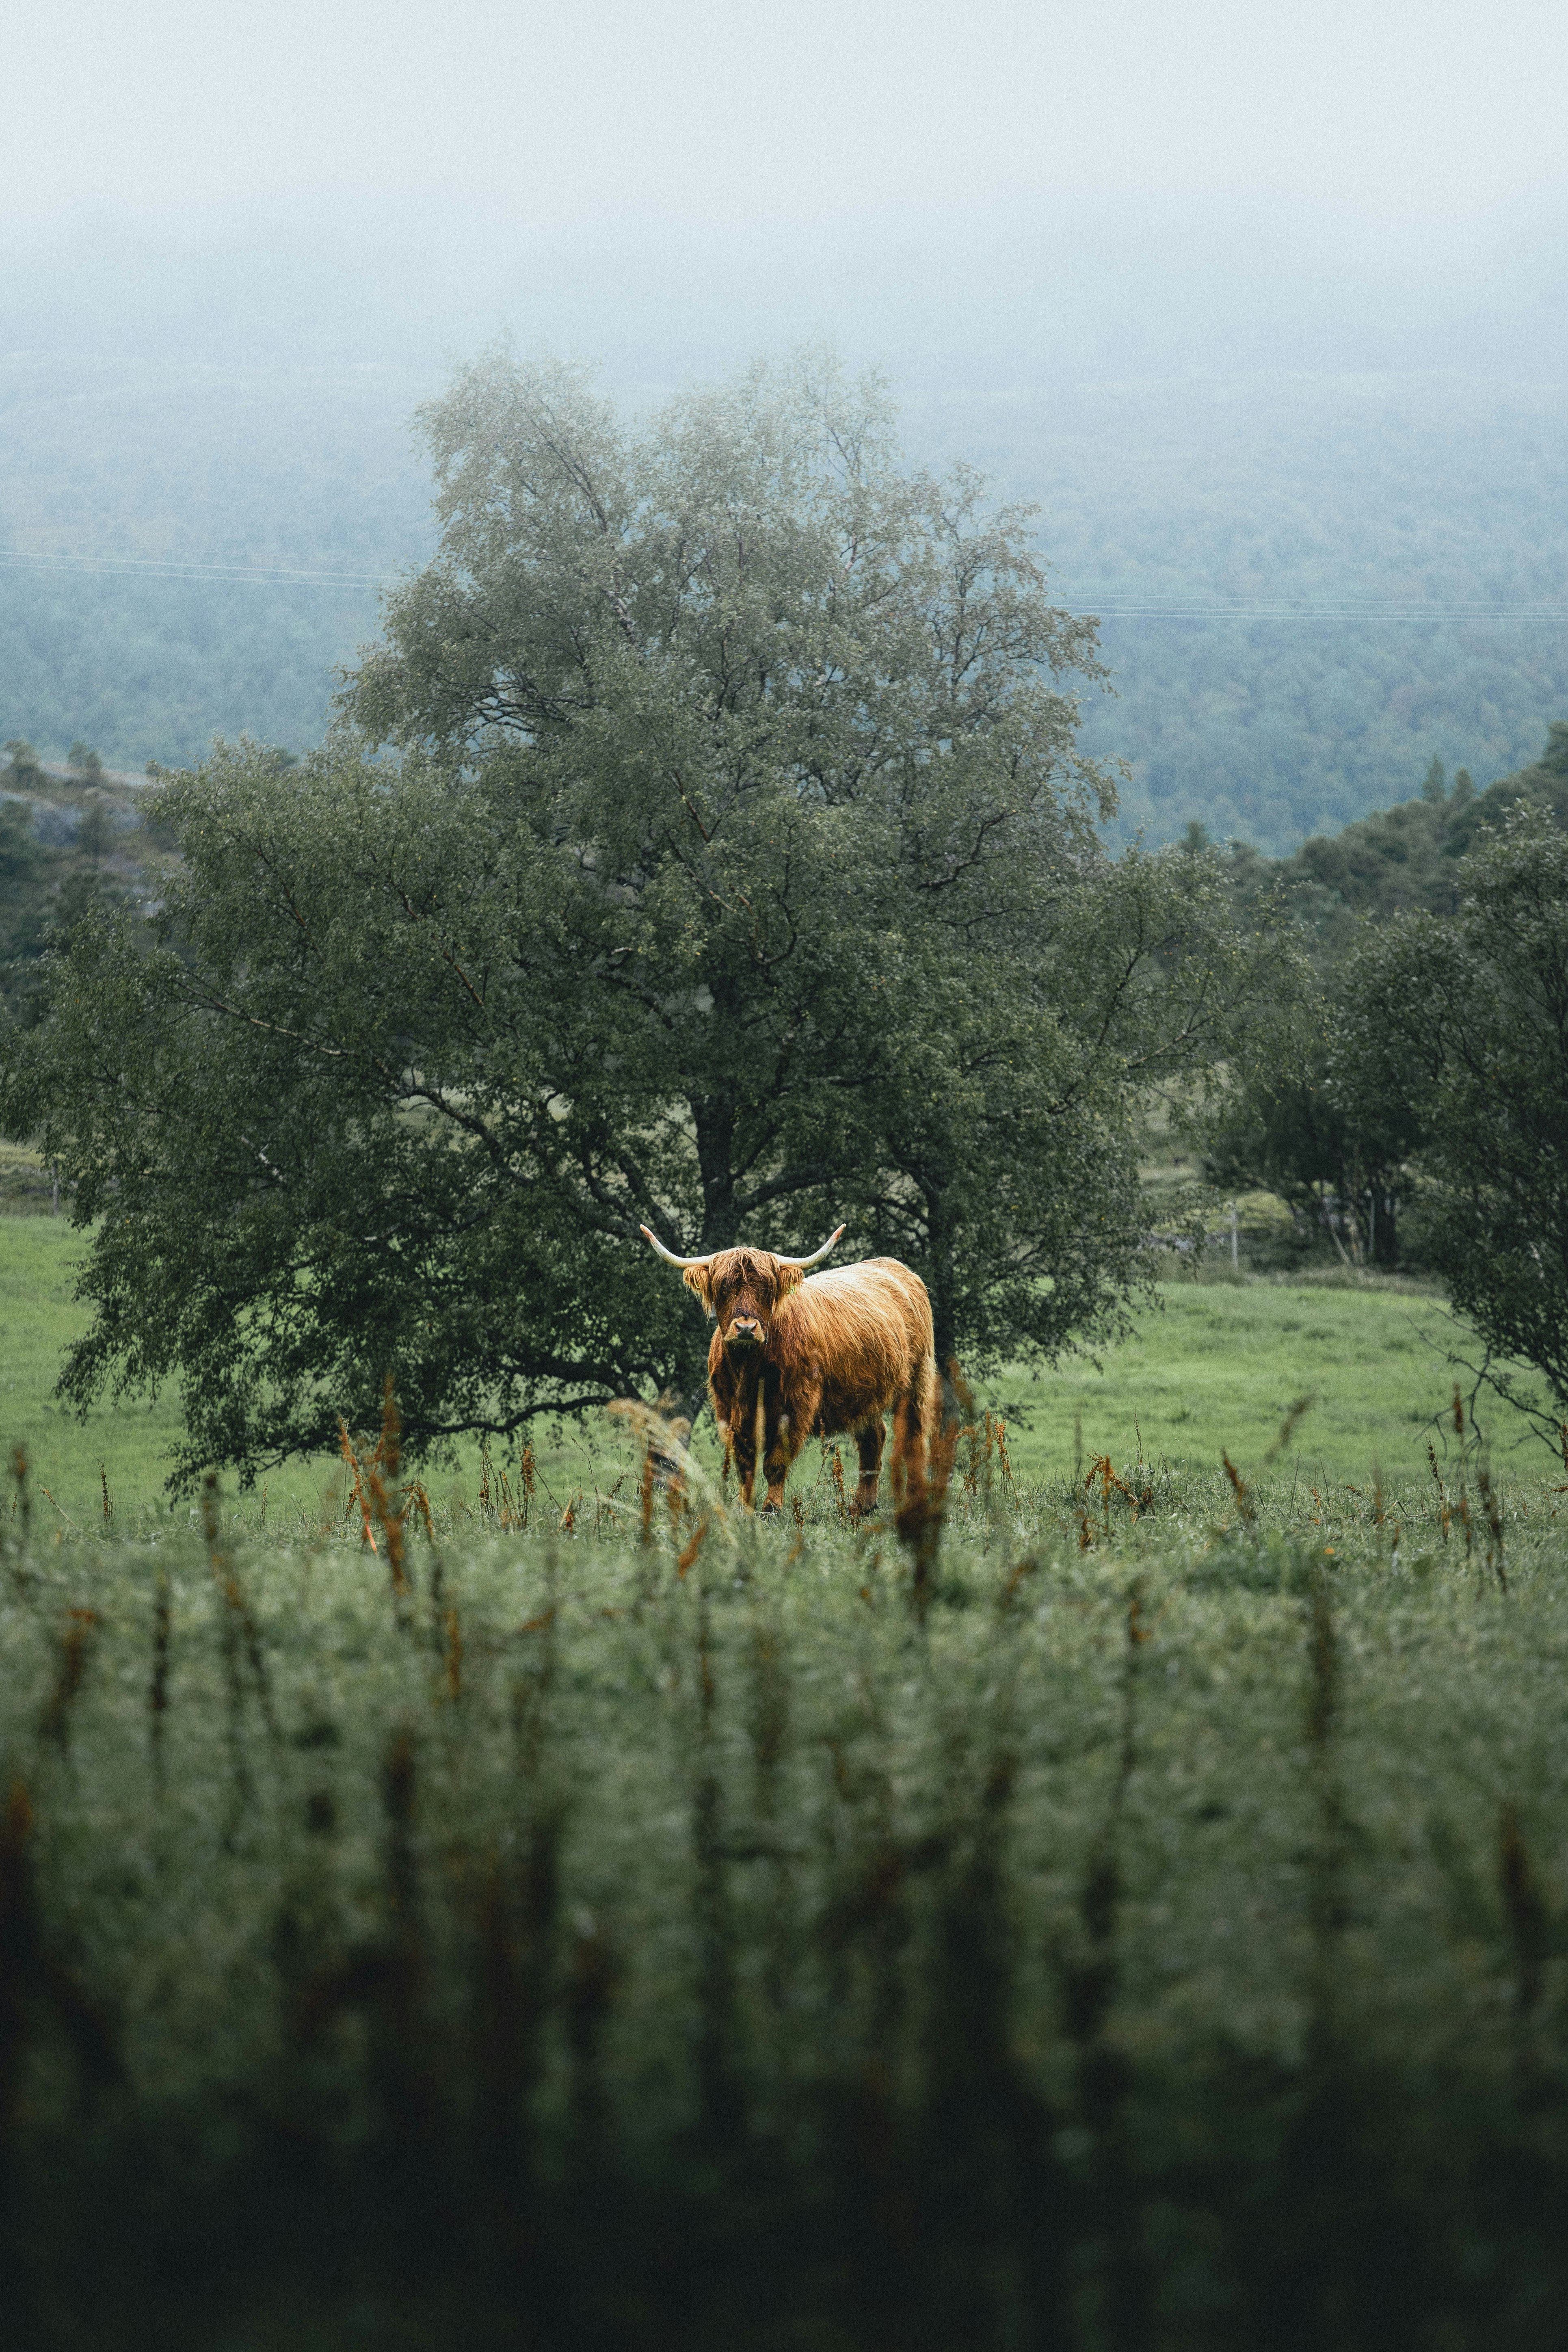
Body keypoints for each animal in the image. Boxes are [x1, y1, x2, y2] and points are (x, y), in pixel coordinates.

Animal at [634, 1223, 931, 1515]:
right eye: (723, 1287)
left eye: (766, 1289)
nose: (746, 1328)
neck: (750, 1371)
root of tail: (894, 1266)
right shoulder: (729, 1409)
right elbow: (745, 1463)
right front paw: (744, 1507)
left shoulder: (796, 1406)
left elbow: (775, 1462)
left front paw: (771, 1509)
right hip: (865, 1395)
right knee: (874, 1436)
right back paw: (862, 1506)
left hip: (917, 1380)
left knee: (914, 1436)